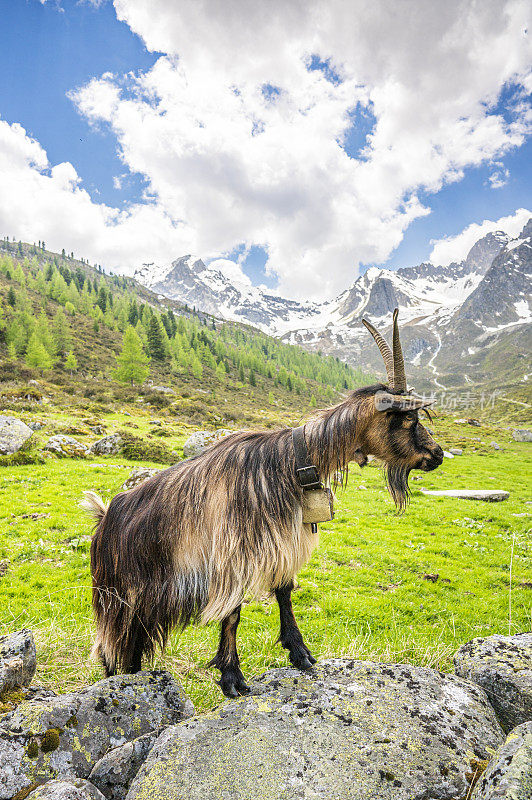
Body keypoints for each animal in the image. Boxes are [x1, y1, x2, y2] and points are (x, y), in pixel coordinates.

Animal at [82, 310, 440, 696]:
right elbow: (233, 613)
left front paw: (299, 653)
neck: (289, 462)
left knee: (131, 647)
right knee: (111, 647)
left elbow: (284, 590)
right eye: (408, 418)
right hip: (118, 598)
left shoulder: (280, 541)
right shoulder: (230, 556)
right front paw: (232, 676)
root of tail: (104, 517)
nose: (437, 455)